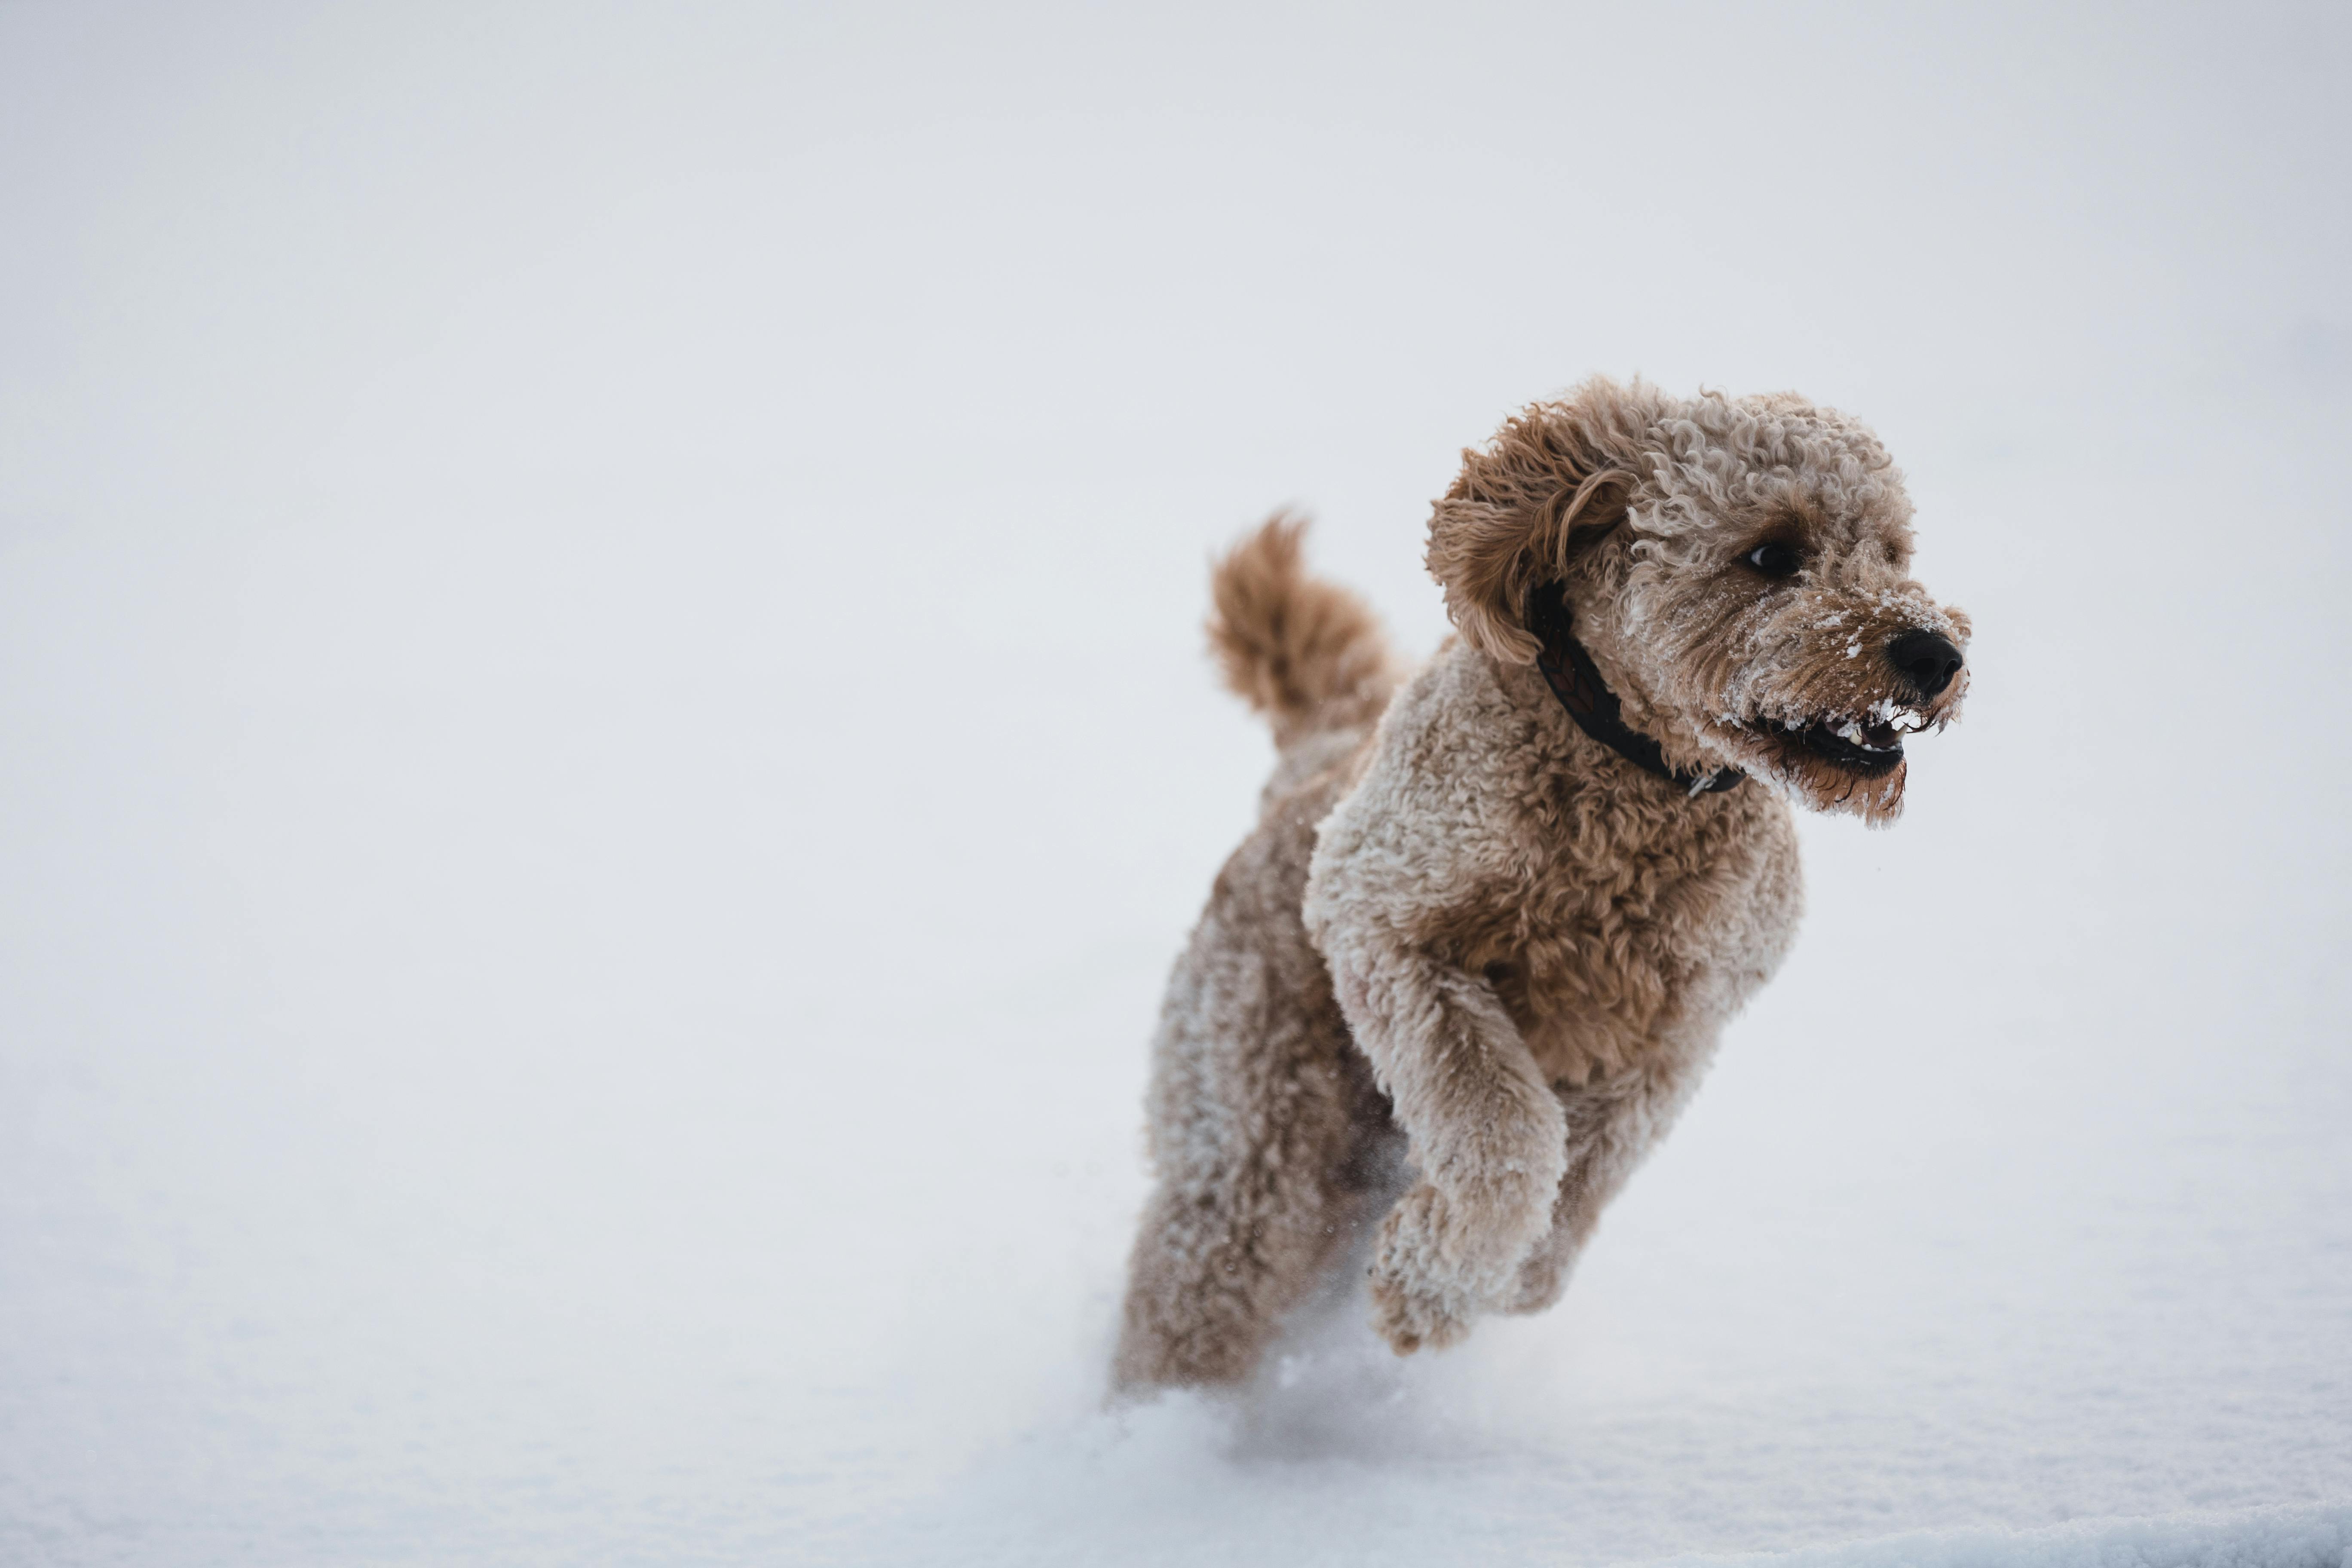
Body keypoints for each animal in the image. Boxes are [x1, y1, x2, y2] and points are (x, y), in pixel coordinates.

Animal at [1110, 376, 1975, 1382]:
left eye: (1892, 551)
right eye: (1771, 553)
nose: (1935, 656)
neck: (1635, 779)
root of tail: (1313, 763)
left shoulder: (1678, 1031)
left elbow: (1576, 1187)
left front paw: (1482, 1279)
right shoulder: (1382, 923)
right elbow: (1509, 1138)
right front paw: (1424, 1291)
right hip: (1248, 1131)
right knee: (1201, 1279)